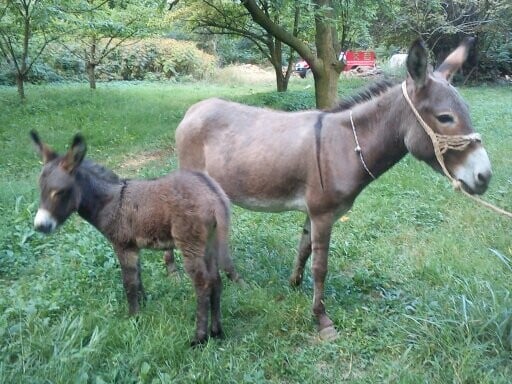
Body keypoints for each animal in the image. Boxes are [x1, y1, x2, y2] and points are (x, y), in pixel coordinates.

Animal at [30, 131, 234, 344]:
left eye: (59, 192)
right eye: (40, 189)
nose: (40, 226)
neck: (110, 202)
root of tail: (215, 196)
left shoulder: (123, 246)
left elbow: (129, 283)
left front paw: (133, 318)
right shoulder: (134, 247)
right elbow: (138, 277)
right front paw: (143, 305)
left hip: (190, 244)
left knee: (203, 283)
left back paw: (199, 338)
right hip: (208, 242)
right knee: (216, 280)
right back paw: (217, 332)